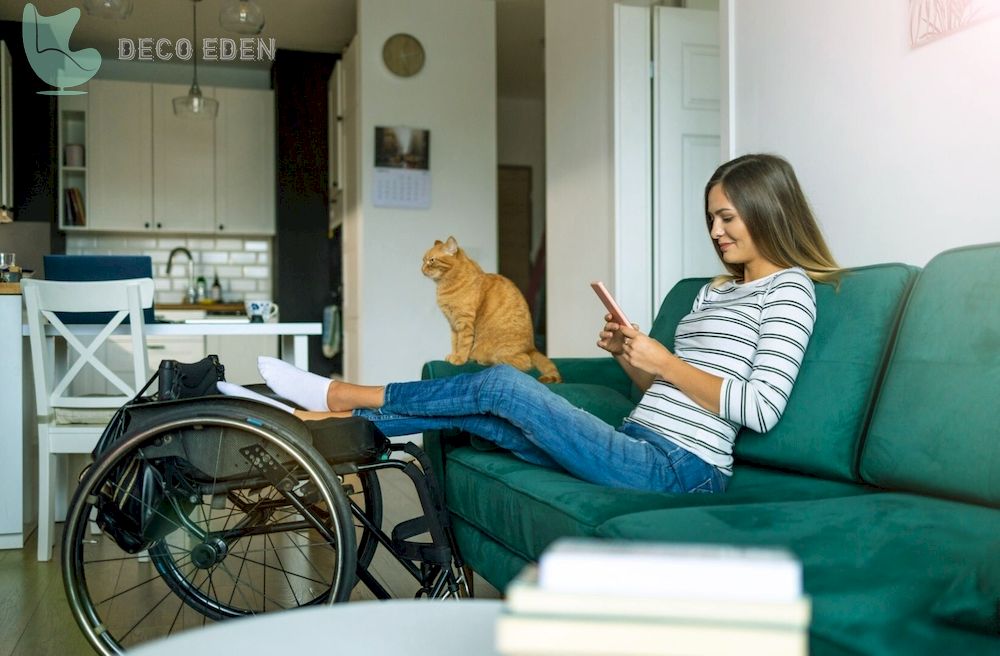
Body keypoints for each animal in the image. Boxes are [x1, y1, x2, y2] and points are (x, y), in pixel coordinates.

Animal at [422, 236, 564, 382]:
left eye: (431, 260)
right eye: (423, 260)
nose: (422, 269)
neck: (446, 283)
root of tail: (532, 348)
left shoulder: (464, 322)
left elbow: (463, 343)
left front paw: (460, 359)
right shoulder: (453, 324)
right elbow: (455, 342)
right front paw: (454, 355)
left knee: (524, 363)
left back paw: (485, 360)